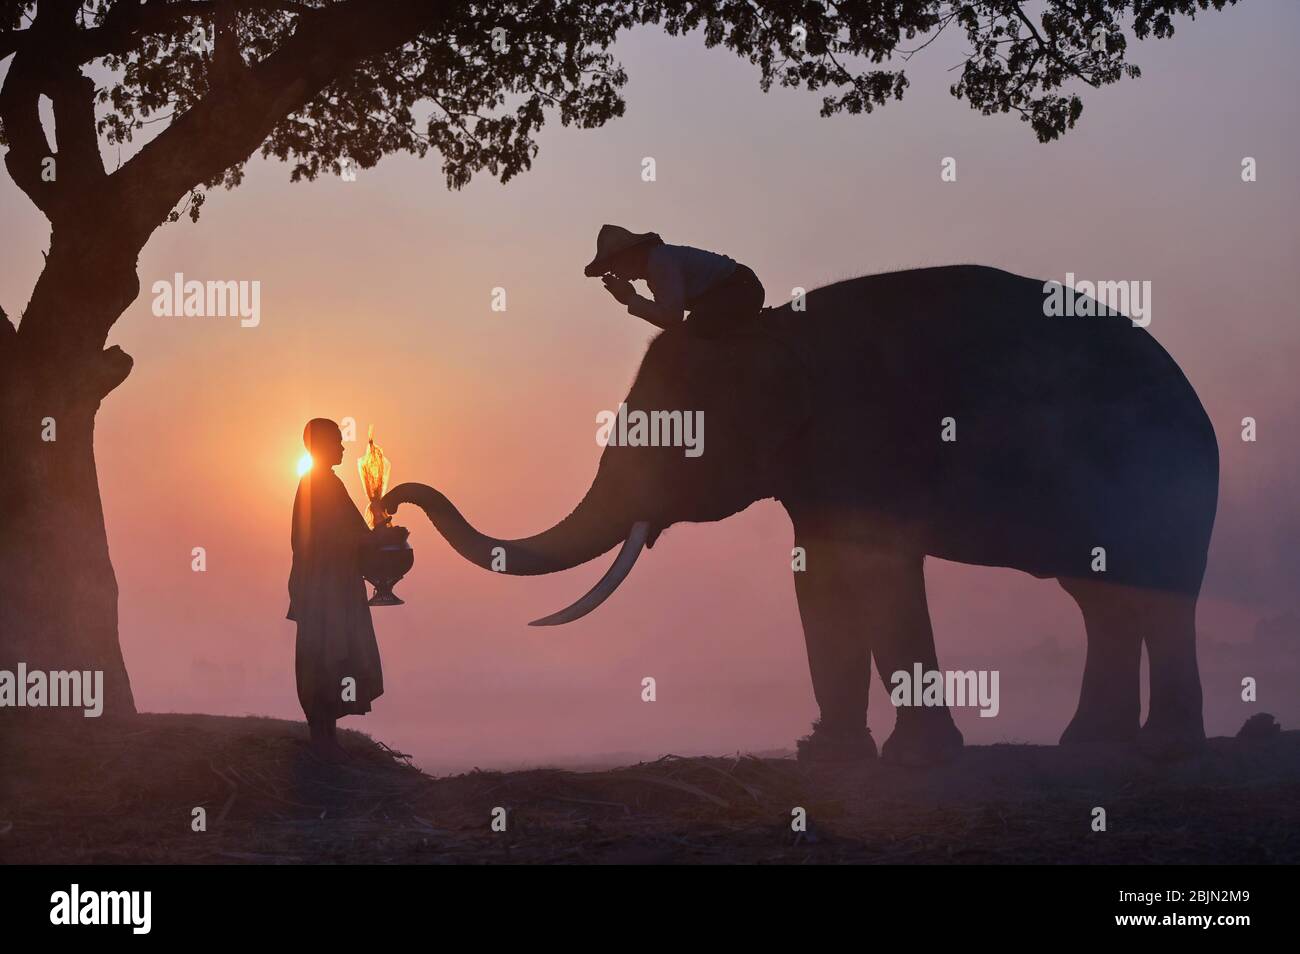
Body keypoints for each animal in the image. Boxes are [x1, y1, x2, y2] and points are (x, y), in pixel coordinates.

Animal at [384, 265, 1216, 764]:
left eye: (672, 436)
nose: (390, 497)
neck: (777, 327)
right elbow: (817, 579)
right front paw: (831, 757)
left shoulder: (869, 442)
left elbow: (884, 574)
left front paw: (917, 761)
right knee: (1104, 601)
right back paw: (1093, 750)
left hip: (1163, 485)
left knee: (1158, 600)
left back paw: (1163, 753)